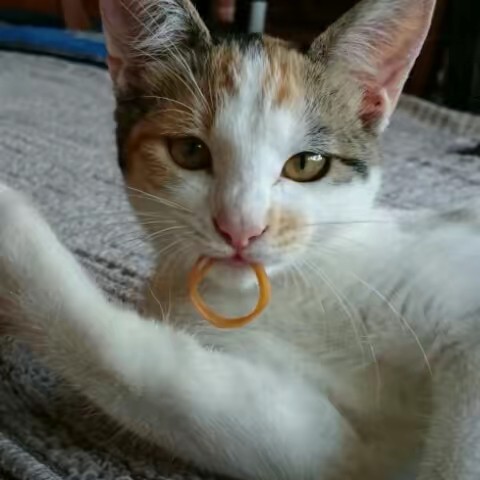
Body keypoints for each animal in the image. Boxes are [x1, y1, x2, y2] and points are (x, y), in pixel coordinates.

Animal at [1, 0, 480, 479]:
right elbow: (173, 384)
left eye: (308, 164)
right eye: (189, 151)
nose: (240, 227)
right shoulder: (341, 450)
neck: (300, 289)